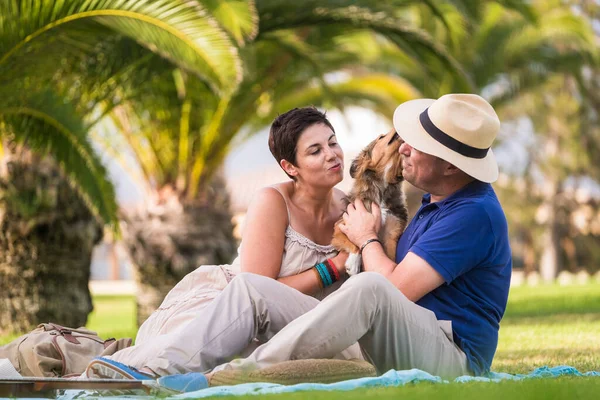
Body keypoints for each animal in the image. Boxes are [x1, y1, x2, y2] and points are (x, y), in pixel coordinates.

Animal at [330, 129, 410, 276]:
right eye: (381, 137)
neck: (382, 190)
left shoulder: (392, 235)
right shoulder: (340, 227)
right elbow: (355, 243)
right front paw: (353, 263)